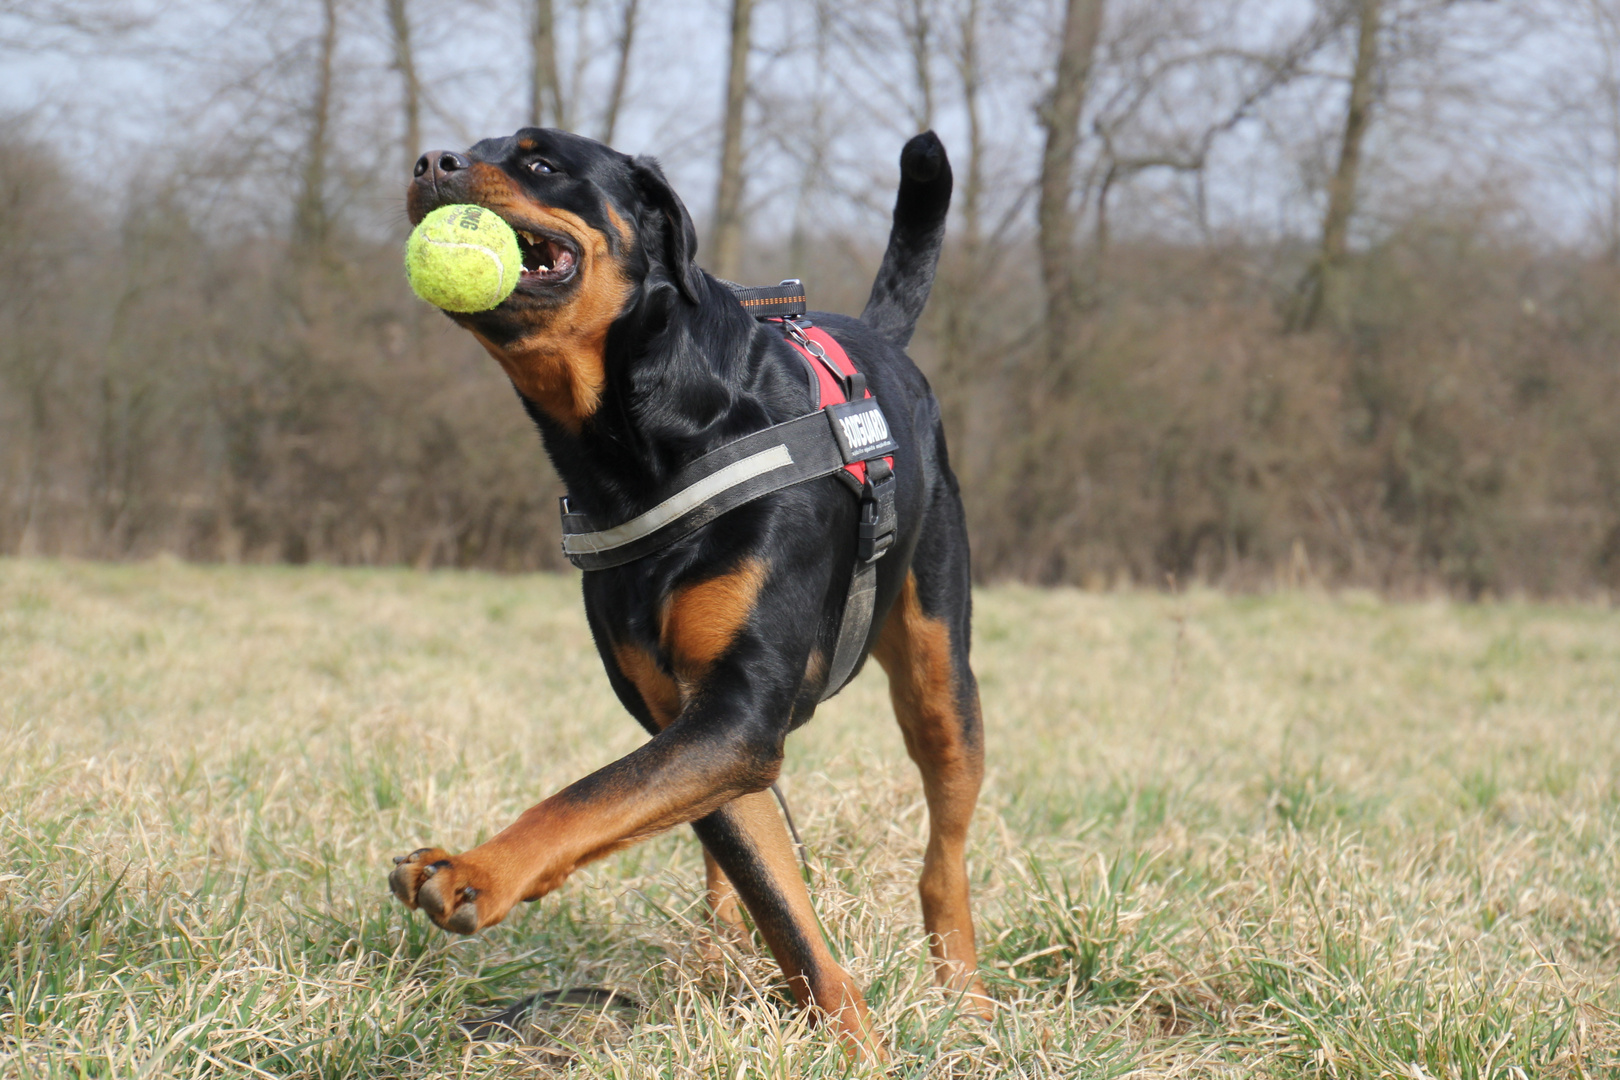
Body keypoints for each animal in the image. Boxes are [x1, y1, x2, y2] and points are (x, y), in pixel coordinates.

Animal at [388, 127, 984, 1055]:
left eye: (539, 161)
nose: (429, 163)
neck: (640, 446)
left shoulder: (735, 714)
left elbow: (586, 796)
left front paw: (475, 868)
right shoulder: (693, 719)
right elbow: (779, 907)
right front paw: (846, 1038)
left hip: (940, 677)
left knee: (943, 856)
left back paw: (969, 999)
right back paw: (717, 958)